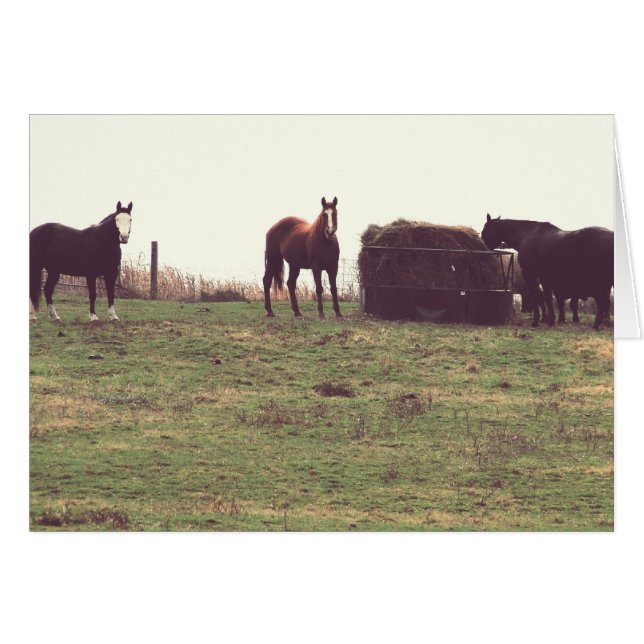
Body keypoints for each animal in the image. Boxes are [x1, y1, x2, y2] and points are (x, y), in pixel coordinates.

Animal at [481, 214, 613, 330]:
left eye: (484, 231)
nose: (483, 248)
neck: (526, 235)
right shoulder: (545, 277)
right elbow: (548, 298)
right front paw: (550, 320)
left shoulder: (530, 274)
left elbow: (536, 296)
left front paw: (536, 321)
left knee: (603, 300)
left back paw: (597, 324)